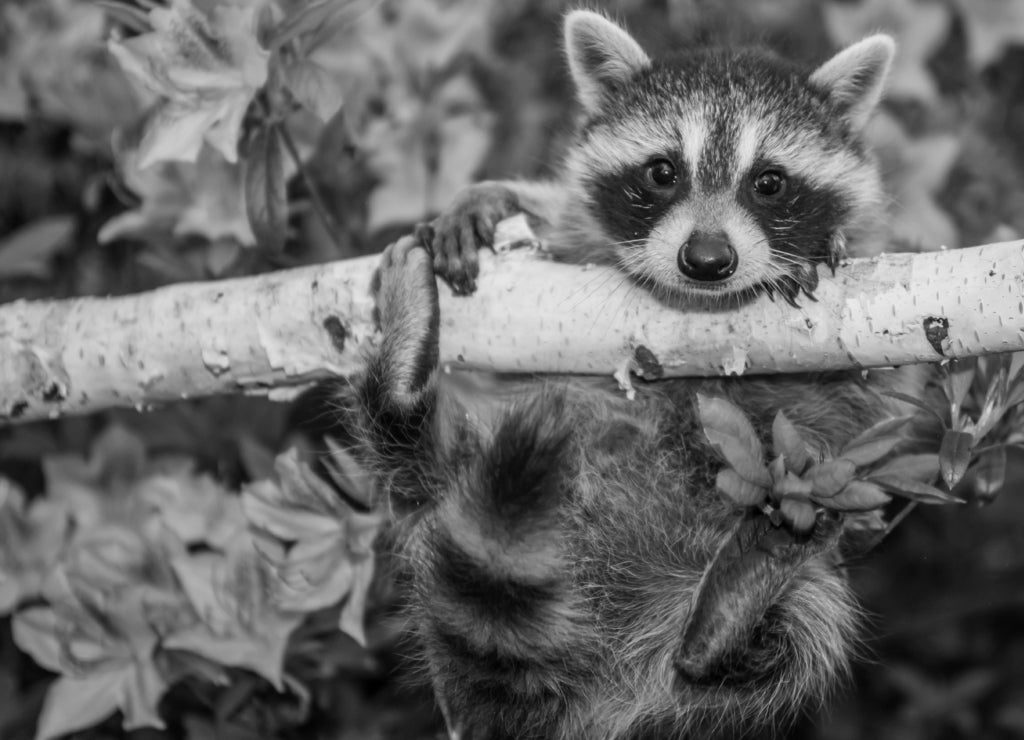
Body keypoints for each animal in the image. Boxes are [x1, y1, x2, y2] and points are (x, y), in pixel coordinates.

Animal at [352, 10, 897, 740]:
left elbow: (876, 397)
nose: (706, 259)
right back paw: (401, 388)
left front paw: (820, 248)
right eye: (662, 171)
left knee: (794, 638)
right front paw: (488, 198)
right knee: (411, 463)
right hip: (451, 492)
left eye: (769, 182)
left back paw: (730, 616)